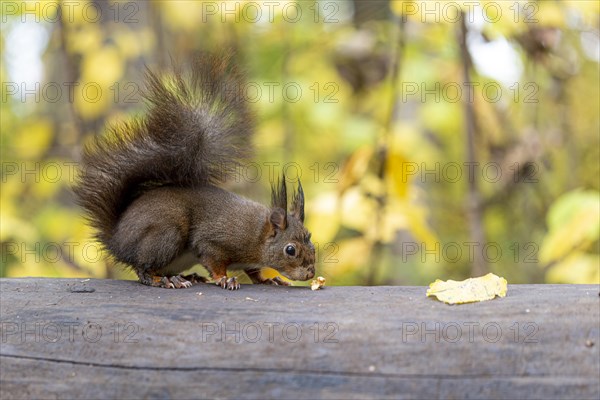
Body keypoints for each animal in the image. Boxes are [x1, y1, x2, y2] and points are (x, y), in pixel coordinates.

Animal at [73, 54, 316, 290]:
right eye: (290, 250)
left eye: (311, 241)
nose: (310, 273)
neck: (257, 234)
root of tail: (117, 240)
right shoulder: (214, 241)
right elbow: (214, 261)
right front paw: (224, 279)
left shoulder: (250, 261)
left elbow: (254, 272)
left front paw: (268, 279)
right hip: (166, 235)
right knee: (143, 268)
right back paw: (162, 280)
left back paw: (187, 276)